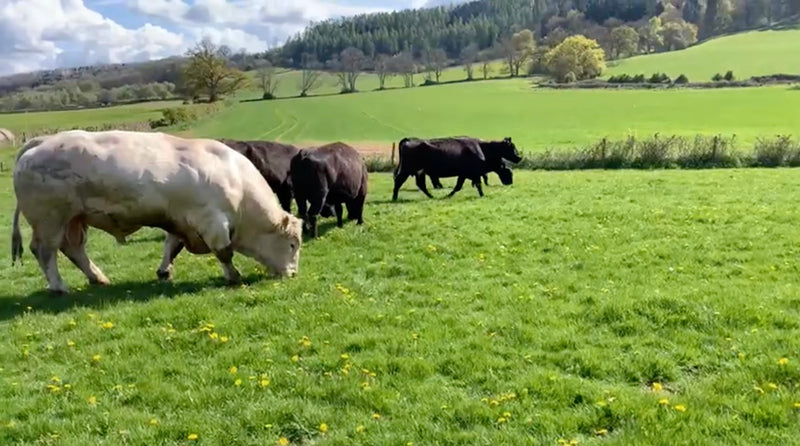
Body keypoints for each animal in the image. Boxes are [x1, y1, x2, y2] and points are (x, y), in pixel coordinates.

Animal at [11, 130, 304, 294]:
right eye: (292, 244)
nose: (293, 274)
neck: (238, 185)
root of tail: (42, 141)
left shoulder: (181, 221)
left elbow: (171, 247)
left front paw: (164, 272)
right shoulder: (213, 222)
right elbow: (224, 253)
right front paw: (233, 277)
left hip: (74, 220)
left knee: (73, 250)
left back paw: (98, 278)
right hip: (50, 220)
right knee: (45, 251)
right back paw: (59, 287)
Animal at [391, 136, 522, 200]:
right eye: (512, 147)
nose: (519, 157)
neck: (482, 148)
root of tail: (408, 141)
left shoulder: (464, 174)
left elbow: (459, 186)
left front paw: (448, 195)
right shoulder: (473, 173)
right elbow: (476, 184)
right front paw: (482, 195)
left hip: (419, 172)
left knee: (421, 185)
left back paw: (431, 196)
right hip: (407, 170)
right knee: (398, 181)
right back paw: (394, 198)